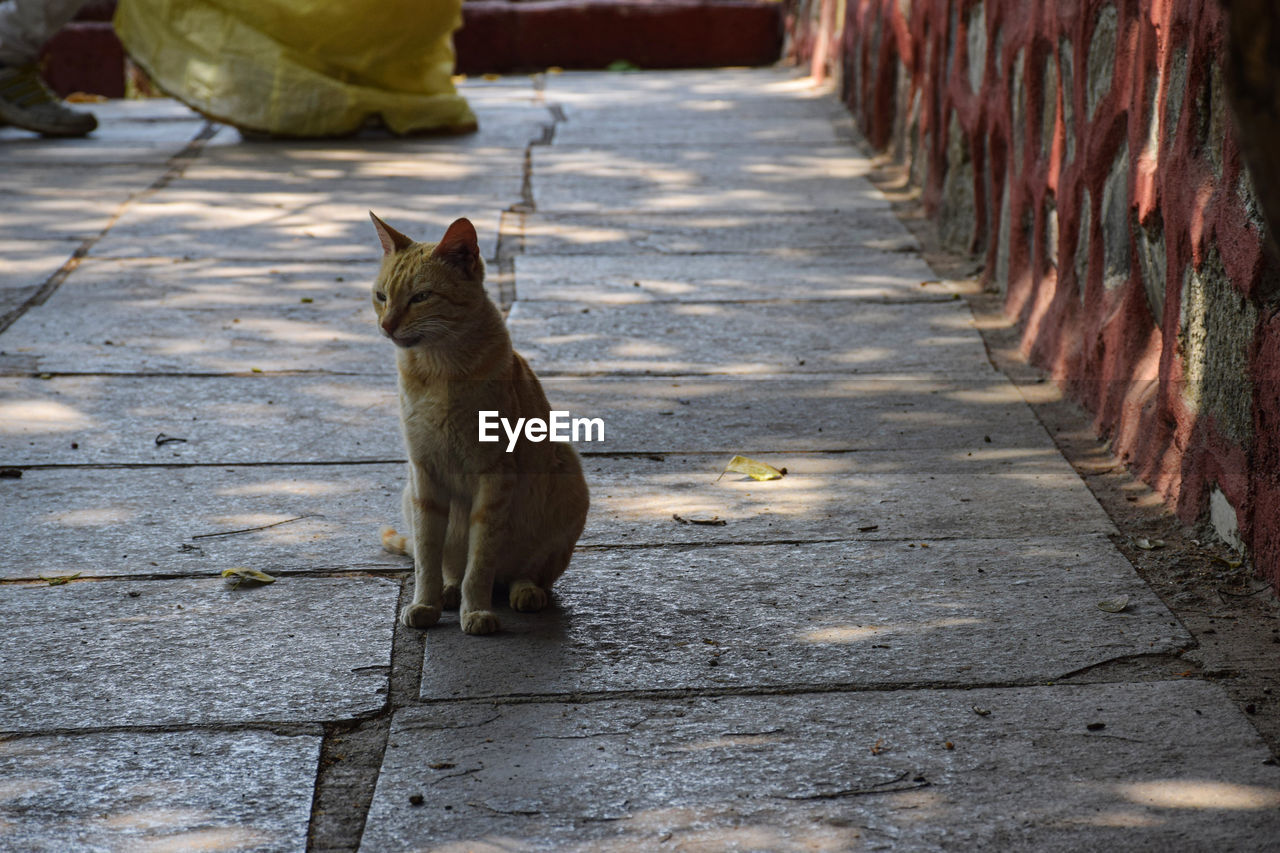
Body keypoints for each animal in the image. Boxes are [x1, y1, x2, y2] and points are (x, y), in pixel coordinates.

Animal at [371, 212, 588, 630]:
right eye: (381, 296)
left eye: (421, 297)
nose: (386, 326)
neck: (438, 370)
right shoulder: (424, 476)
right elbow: (427, 556)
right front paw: (427, 602)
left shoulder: (494, 476)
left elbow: (481, 559)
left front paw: (476, 611)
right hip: (409, 495)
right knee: (450, 566)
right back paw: (448, 591)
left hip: (568, 476)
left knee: (526, 572)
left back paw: (524, 591)